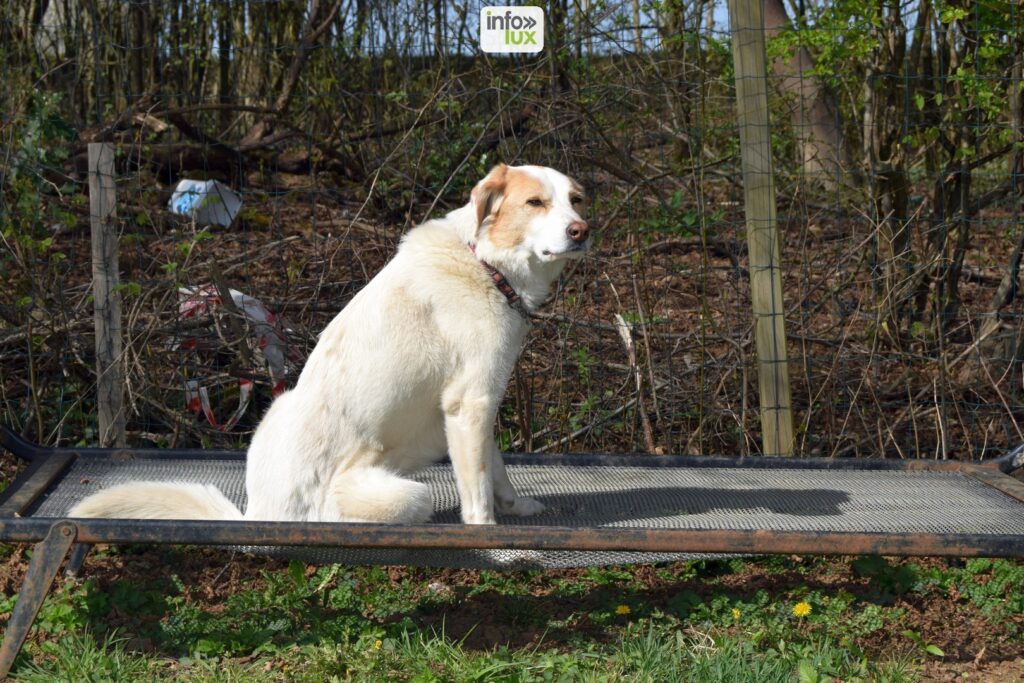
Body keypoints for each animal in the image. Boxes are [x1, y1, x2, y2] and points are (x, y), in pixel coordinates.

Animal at [70, 163, 593, 524]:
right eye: (534, 203)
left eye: (576, 200)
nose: (581, 232)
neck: (486, 263)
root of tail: (257, 515)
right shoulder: (470, 404)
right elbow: (477, 489)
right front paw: (487, 532)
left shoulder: (480, 406)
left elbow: (496, 470)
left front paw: (516, 508)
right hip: (406, 493)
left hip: (278, 407)